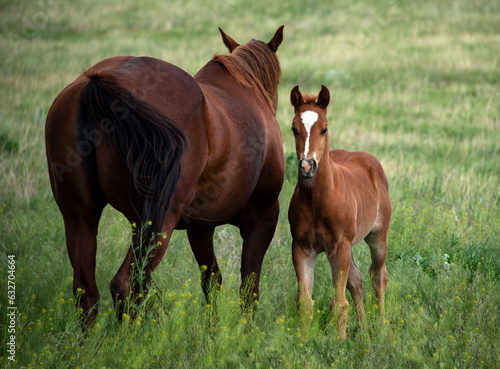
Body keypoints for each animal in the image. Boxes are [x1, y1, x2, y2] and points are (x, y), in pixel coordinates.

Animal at [46, 25, 286, 326]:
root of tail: (96, 82)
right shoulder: (263, 216)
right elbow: (249, 286)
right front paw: (245, 331)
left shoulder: (200, 227)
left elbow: (212, 280)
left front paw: (213, 329)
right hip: (158, 221)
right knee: (126, 284)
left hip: (82, 218)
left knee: (87, 294)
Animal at [290, 85, 390, 340]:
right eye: (294, 128)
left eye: (324, 129)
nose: (307, 166)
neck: (318, 200)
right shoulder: (302, 248)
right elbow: (305, 303)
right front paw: (302, 343)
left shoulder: (338, 247)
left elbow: (338, 304)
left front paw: (339, 343)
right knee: (357, 281)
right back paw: (363, 332)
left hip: (377, 237)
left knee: (378, 276)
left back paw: (381, 328)